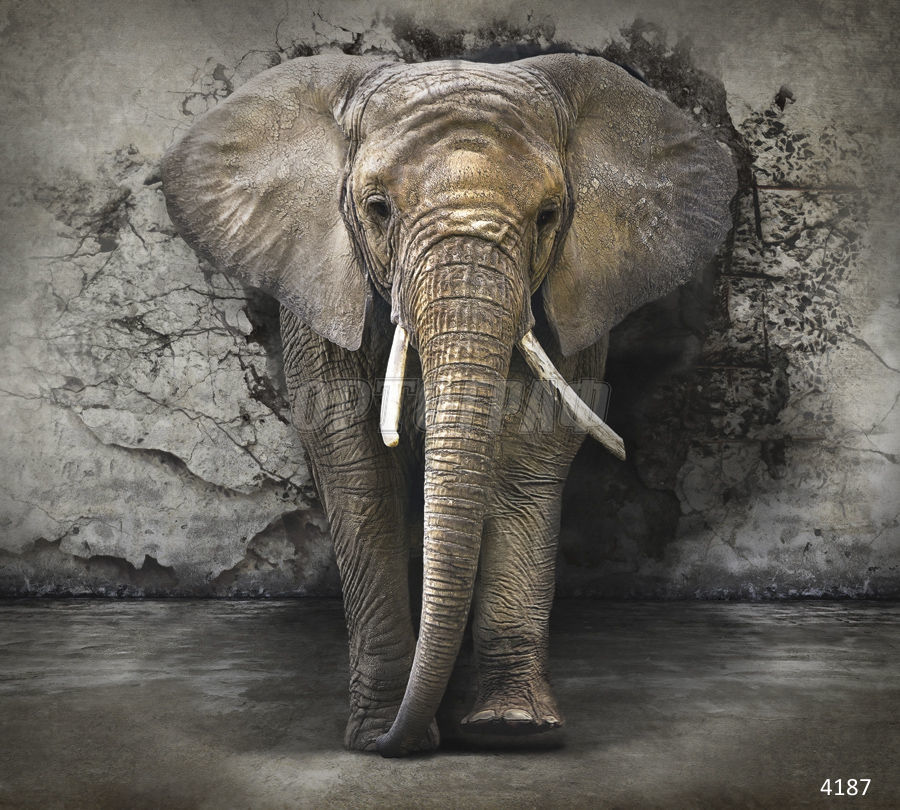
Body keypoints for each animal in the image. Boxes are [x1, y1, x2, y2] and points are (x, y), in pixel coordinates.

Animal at [160, 52, 735, 757]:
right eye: (378, 208)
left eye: (549, 215)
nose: (396, 743)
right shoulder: (322, 294)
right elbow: (358, 469)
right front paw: (379, 735)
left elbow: (523, 464)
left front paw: (513, 731)